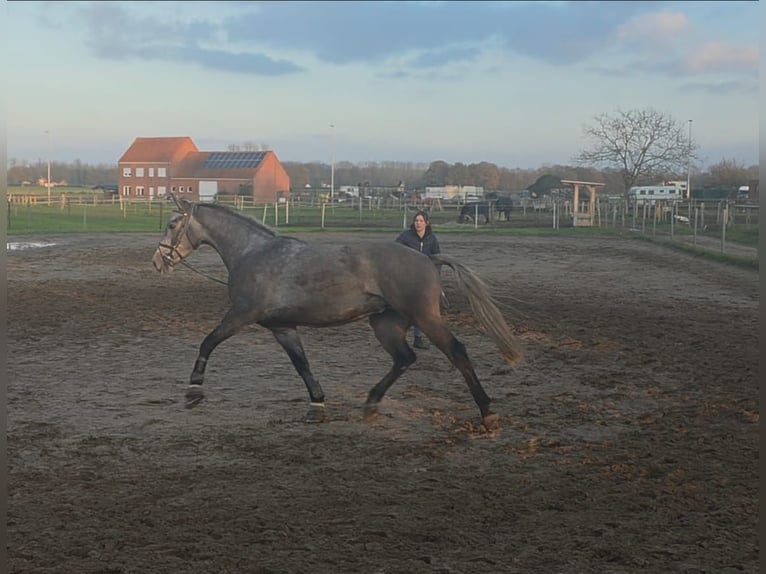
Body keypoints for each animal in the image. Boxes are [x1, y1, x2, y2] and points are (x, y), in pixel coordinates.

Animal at [152, 195, 523, 429]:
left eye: (171, 224)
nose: (157, 261)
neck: (253, 253)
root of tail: (428, 258)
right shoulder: (282, 327)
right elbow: (302, 365)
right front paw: (316, 404)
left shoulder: (242, 313)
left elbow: (208, 342)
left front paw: (194, 390)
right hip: (385, 324)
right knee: (404, 359)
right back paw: (371, 402)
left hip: (425, 319)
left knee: (456, 352)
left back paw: (487, 411)